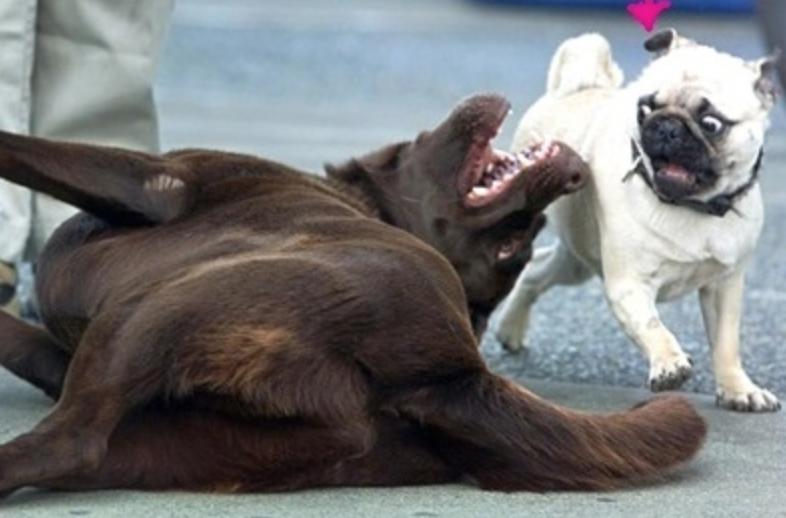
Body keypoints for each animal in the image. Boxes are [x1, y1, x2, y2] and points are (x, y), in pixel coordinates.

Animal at [0, 93, 704, 500]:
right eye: (514, 246)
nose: (573, 175)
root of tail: (454, 372)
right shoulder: (60, 356)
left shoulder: (157, 180)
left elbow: (21, 149)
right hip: (175, 441)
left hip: (155, 311)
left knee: (72, 441)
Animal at [494, 29, 776, 414]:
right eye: (645, 109)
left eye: (711, 124)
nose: (668, 128)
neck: (692, 207)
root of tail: (572, 90)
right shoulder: (629, 284)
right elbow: (652, 326)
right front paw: (669, 364)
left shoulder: (724, 285)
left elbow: (726, 344)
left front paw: (738, 389)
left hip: (577, 260)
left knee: (536, 273)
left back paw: (511, 330)